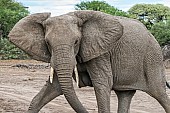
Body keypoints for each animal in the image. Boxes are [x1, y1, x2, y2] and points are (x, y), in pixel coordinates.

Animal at [7, 10, 170, 112]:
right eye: (47, 43)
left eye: (76, 41)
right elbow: (54, 87)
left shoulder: (101, 53)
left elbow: (102, 84)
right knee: (125, 95)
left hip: (153, 58)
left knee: (160, 94)